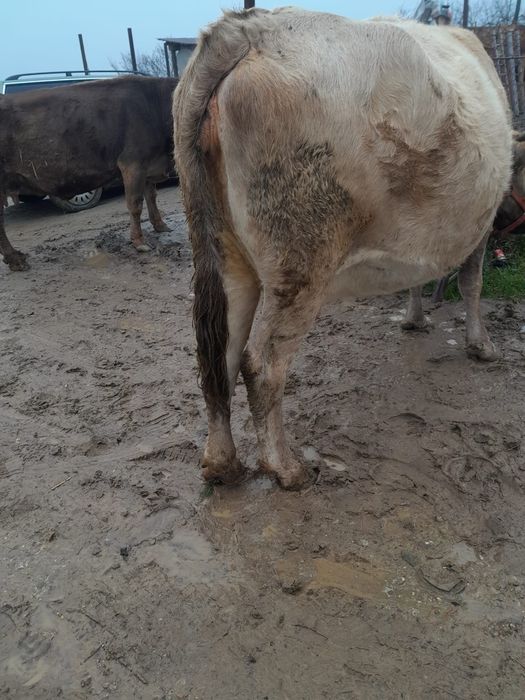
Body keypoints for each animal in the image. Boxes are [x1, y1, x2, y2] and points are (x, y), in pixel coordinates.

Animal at [0, 75, 178, 271]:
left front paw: (160, 225)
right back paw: (16, 259)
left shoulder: (148, 166)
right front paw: (139, 242)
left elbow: (151, 197)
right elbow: (135, 204)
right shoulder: (132, 163)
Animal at [174, 8, 512, 490]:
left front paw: (414, 319)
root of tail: (246, 28)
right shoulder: (482, 222)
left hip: (223, 251)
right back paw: (285, 468)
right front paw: (480, 345)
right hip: (301, 259)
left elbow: (419, 275)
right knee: (262, 365)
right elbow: (472, 283)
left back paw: (222, 464)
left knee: (218, 355)